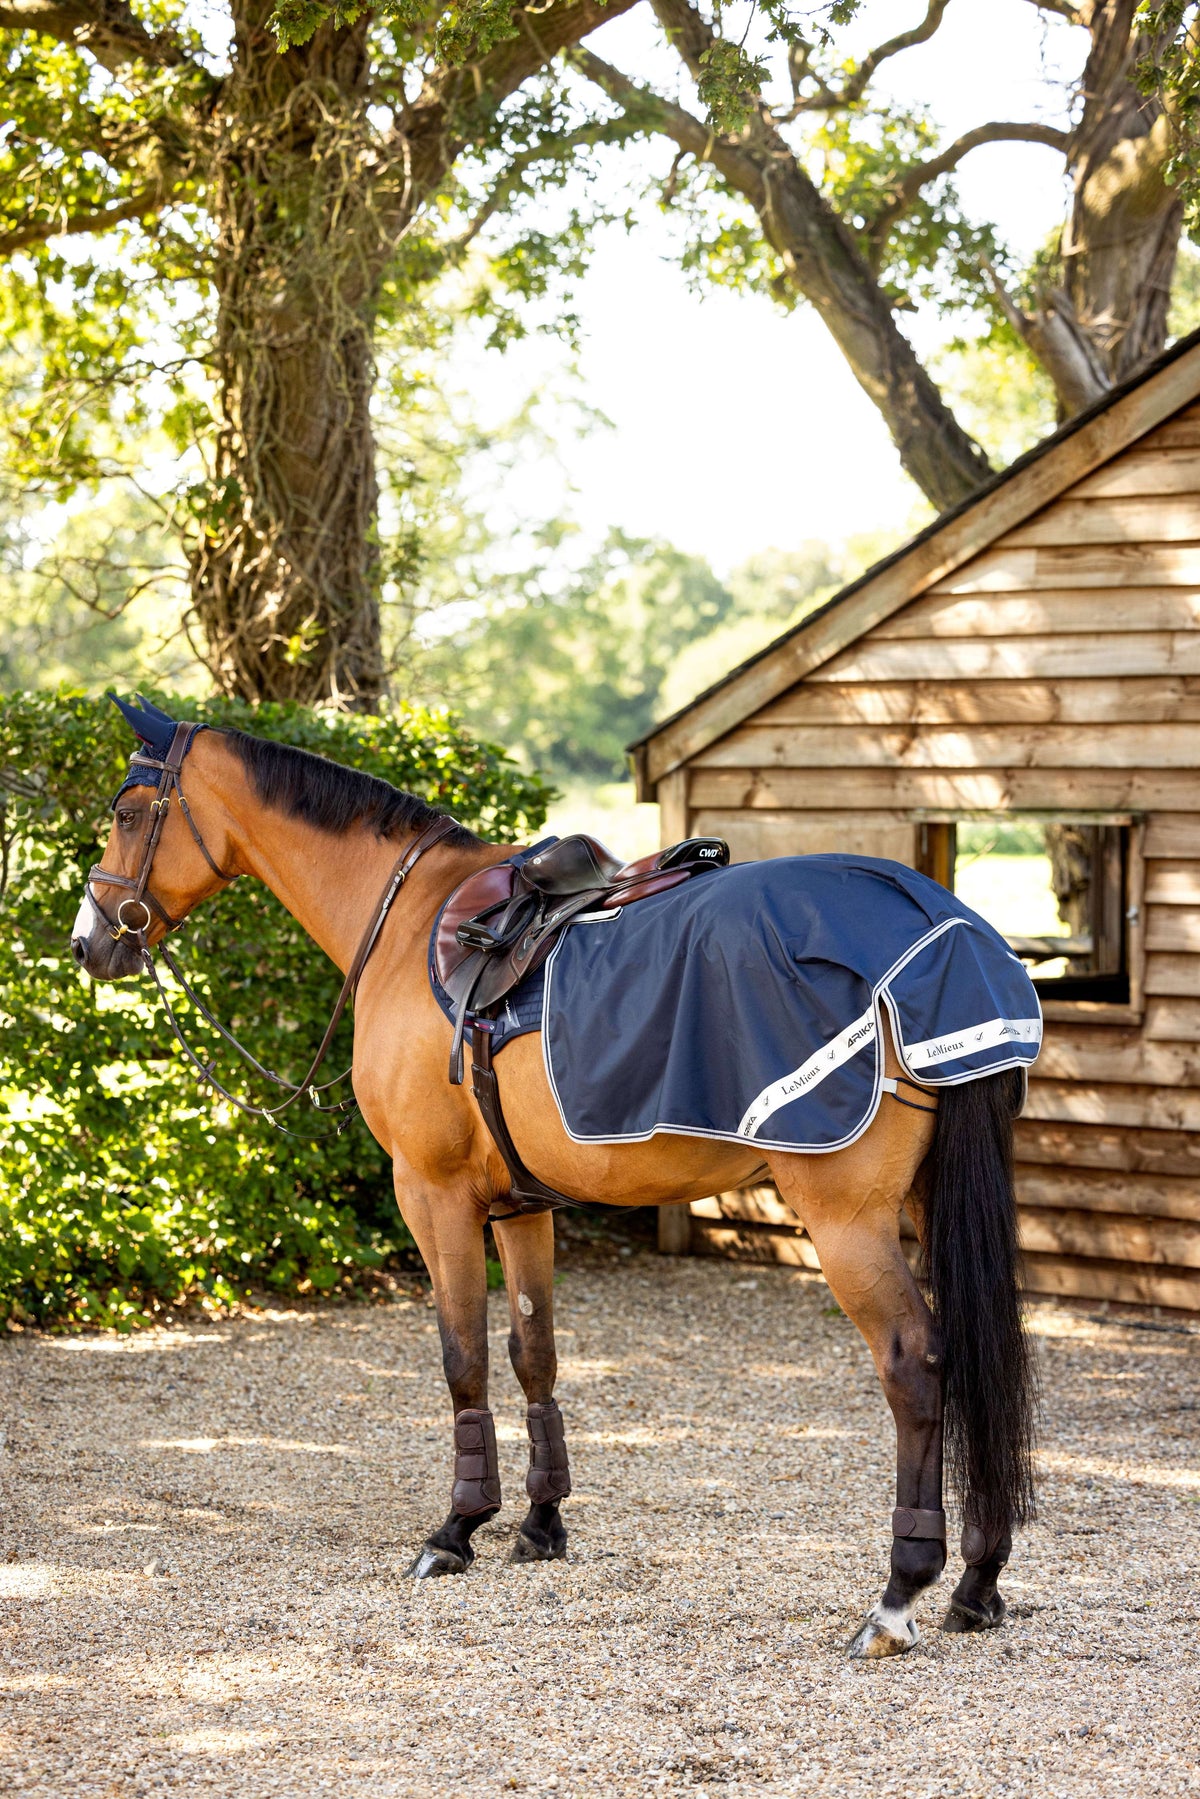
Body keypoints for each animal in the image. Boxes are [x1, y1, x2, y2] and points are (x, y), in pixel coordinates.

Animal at [70, 701, 1036, 1655]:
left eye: (128, 811)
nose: (89, 942)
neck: (406, 917)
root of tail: (945, 930)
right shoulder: (519, 1205)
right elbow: (532, 1352)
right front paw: (539, 1523)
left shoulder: (432, 1194)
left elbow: (462, 1356)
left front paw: (457, 1528)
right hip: (929, 1201)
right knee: (976, 1354)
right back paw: (978, 1580)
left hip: (847, 1218)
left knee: (915, 1364)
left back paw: (899, 1593)